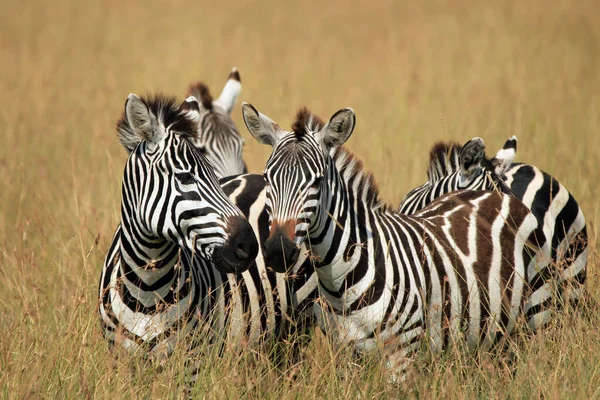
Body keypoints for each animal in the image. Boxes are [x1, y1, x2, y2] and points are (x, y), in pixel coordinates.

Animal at [97, 94, 258, 362]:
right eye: (185, 178)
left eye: (214, 176)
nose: (249, 244)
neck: (148, 289)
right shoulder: (120, 359)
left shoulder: (192, 359)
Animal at [239, 103, 552, 382]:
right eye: (267, 179)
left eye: (316, 182)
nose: (277, 251)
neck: (341, 283)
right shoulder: (345, 355)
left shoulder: (402, 355)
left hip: (534, 319)